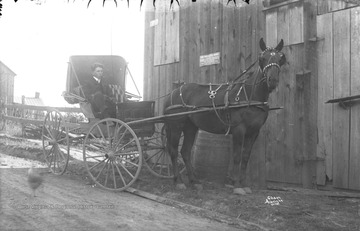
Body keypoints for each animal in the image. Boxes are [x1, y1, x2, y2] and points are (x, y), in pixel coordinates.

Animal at [162, 37, 284, 193]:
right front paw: (237, 186)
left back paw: (194, 181)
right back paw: (178, 181)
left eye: (281, 58)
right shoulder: (239, 129)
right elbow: (237, 157)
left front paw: (244, 184)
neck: (249, 96)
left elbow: (245, 157)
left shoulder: (254, 132)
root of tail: (173, 93)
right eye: (262, 58)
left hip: (190, 127)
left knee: (185, 152)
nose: (272, 80)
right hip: (176, 126)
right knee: (173, 150)